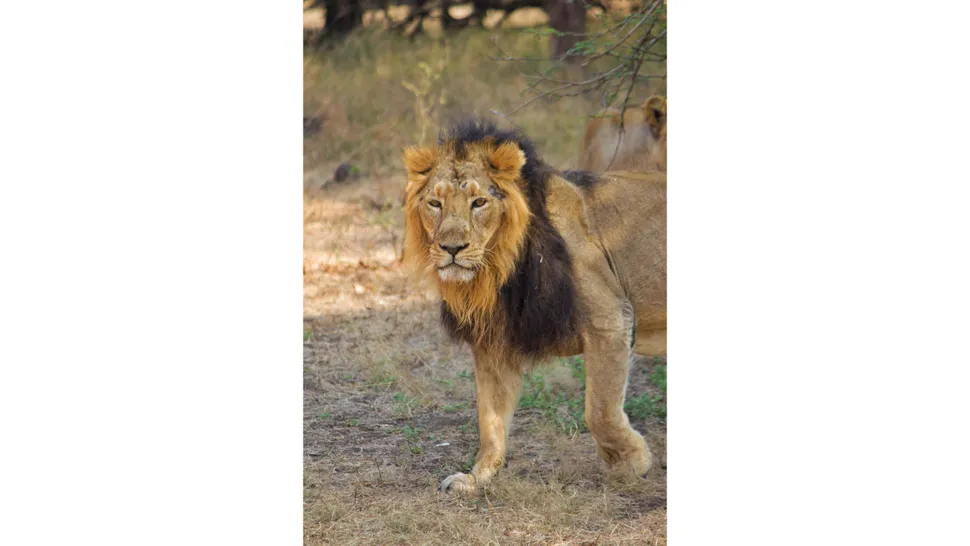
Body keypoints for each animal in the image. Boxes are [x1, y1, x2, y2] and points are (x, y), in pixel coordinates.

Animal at [402, 120, 666, 494]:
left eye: (479, 202)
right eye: (435, 203)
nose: (452, 248)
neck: (498, 270)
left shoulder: (610, 319)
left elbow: (599, 410)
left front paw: (632, 463)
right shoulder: (493, 344)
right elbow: (490, 420)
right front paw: (476, 478)